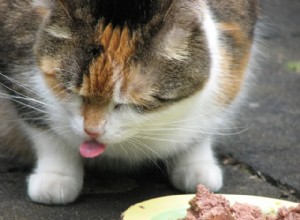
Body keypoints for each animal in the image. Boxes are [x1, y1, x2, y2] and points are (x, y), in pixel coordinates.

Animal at [0, 0, 258, 205]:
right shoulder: (17, 63)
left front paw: (196, 167)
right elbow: (44, 129)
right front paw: (56, 178)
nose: (91, 131)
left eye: (127, 104)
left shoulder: (236, 50)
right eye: (72, 92)